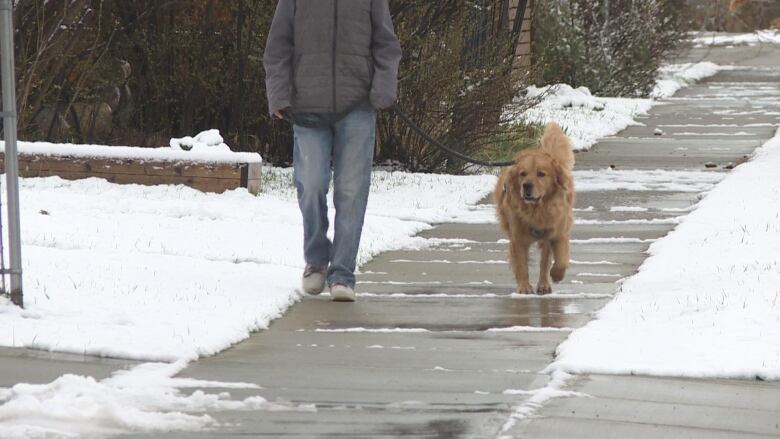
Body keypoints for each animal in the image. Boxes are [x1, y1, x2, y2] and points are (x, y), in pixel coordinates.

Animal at [496, 123, 576, 296]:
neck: (537, 210)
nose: (526, 185)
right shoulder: (517, 237)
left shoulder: (558, 232)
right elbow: (521, 264)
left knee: (544, 262)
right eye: (522, 174)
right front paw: (524, 287)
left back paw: (544, 284)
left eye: (541, 174)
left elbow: (560, 259)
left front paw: (556, 275)